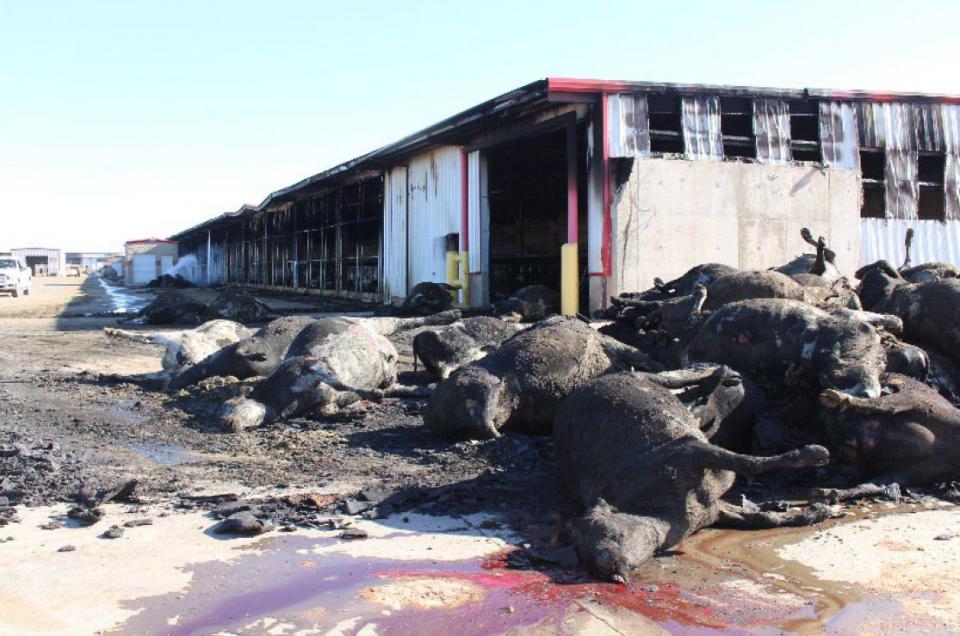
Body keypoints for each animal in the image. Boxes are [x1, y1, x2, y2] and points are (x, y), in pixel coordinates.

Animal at [560, 372, 828, 580]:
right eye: (580, 547)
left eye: (601, 527)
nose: (604, 562)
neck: (659, 513)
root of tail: (576, 392)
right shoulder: (711, 509)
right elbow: (761, 518)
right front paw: (816, 512)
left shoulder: (688, 450)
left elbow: (750, 463)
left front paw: (815, 454)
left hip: (638, 378)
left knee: (668, 378)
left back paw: (718, 376)